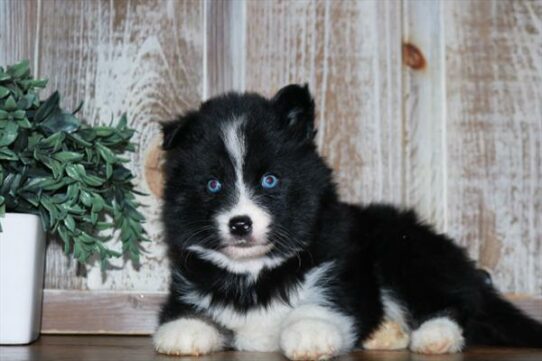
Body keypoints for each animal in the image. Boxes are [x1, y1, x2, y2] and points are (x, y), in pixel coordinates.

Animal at [153, 83, 542, 358]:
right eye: (213, 185)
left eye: (270, 180)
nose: (240, 224)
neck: (254, 272)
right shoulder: (188, 279)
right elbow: (187, 312)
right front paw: (184, 329)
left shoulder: (338, 274)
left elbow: (324, 305)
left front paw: (309, 331)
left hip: (405, 253)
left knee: (458, 307)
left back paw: (434, 336)